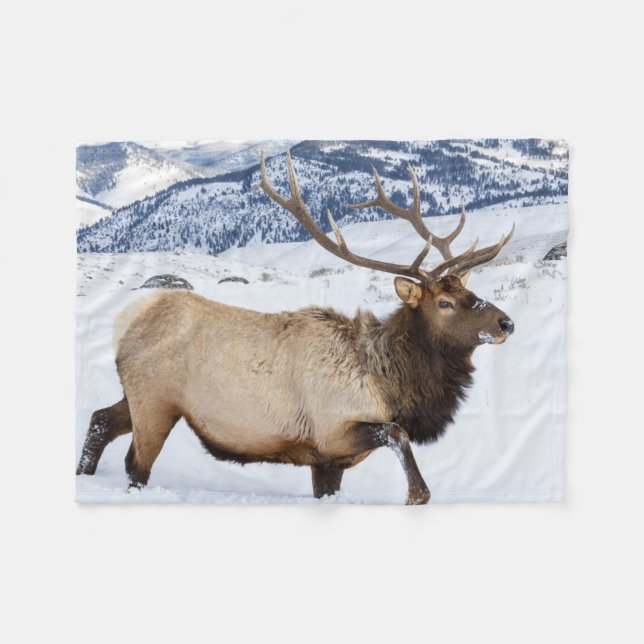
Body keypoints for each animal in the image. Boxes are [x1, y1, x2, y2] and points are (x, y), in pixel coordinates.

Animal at [76, 152, 515, 504]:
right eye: (444, 303)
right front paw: (417, 494)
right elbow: (397, 435)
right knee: (135, 464)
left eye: (470, 289)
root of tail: (127, 320)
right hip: (155, 400)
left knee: (100, 419)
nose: (506, 321)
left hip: (138, 395)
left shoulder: (328, 461)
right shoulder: (332, 430)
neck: (391, 386)